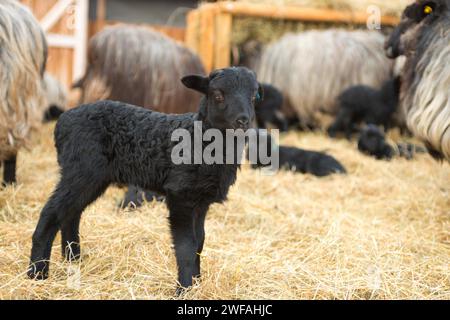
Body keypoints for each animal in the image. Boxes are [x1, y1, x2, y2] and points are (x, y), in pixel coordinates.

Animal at [28, 66, 264, 294]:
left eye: (254, 97)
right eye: (218, 95)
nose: (243, 121)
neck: (201, 141)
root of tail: (63, 121)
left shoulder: (201, 201)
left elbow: (200, 241)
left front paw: (197, 283)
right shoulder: (180, 195)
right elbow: (186, 246)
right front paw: (184, 288)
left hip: (90, 178)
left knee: (71, 214)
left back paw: (73, 260)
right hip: (81, 170)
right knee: (51, 213)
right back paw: (37, 273)